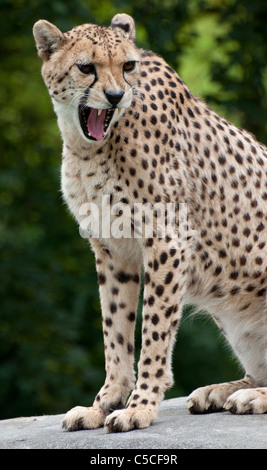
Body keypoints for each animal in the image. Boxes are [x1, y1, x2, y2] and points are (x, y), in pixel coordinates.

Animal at [33, 12, 267, 432]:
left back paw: (251, 397)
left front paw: (139, 406)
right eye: (86, 67)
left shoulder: (167, 240)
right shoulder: (111, 247)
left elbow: (154, 330)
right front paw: (102, 404)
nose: (115, 96)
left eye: (128, 66)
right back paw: (222, 390)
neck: (90, 147)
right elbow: (115, 330)